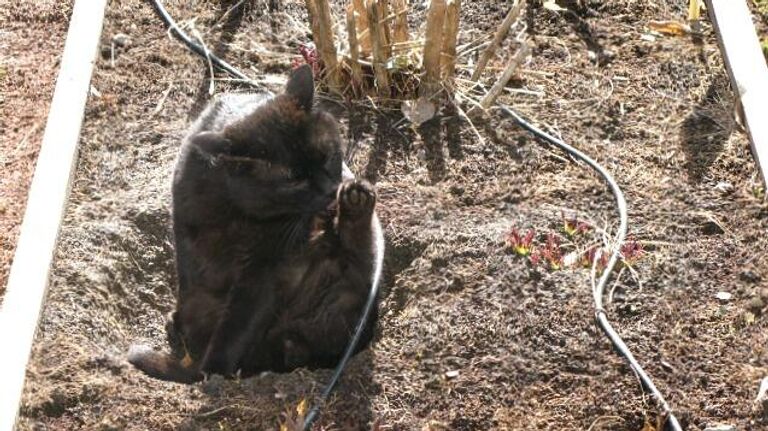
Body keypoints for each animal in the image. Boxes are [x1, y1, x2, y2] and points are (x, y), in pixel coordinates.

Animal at [130, 66, 380, 384]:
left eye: (328, 157)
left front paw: (212, 373)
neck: (234, 207)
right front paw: (207, 369)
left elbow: (238, 324)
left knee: (361, 263)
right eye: (294, 181)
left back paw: (357, 201)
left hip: (344, 285)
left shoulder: (264, 266)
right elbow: (223, 315)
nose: (330, 190)